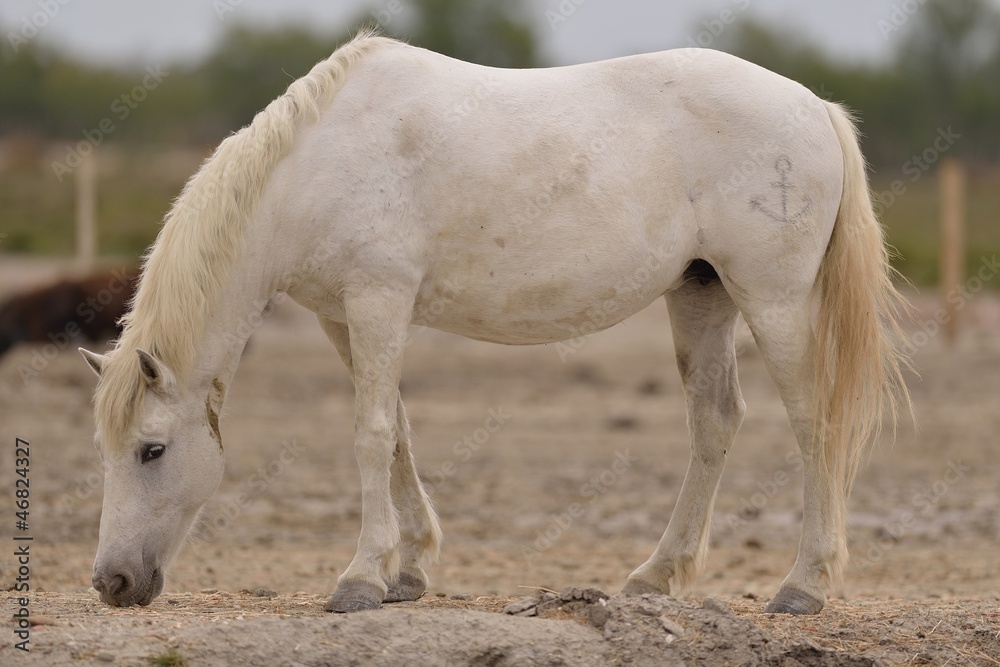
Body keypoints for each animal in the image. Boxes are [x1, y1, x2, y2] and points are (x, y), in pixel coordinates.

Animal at [79, 30, 911, 615]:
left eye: (152, 449)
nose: (112, 580)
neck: (316, 166)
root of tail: (815, 107)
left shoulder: (378, 299)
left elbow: (370, 433)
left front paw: (359, 578)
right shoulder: (341, 316)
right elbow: (399, 430)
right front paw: (410, 568)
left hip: (773, 301)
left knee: (812, 425)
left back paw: (803, 585)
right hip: (701, 296)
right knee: (715, 420)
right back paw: (655, 575)